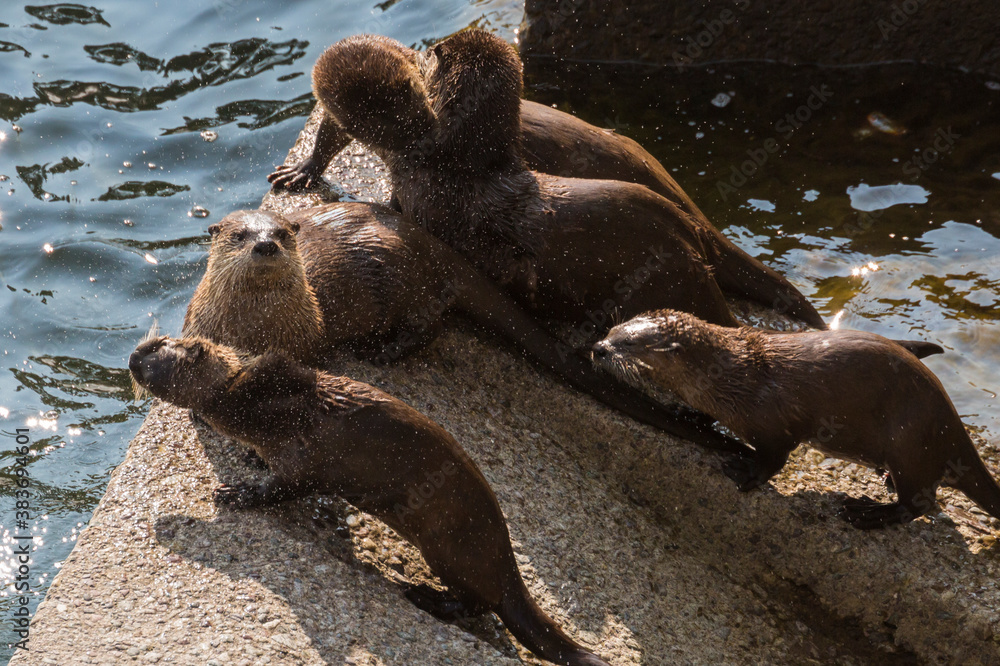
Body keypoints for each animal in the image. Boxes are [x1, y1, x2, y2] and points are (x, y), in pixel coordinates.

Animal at [128, 336, 611, 666]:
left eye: (156, 352)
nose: (132, 358)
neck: (252, 407)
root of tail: (509, 562)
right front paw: (249, 458)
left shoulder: (303, 455)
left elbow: (283, 487)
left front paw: (238, 492)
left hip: (451, 545)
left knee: (481, 601)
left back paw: (424, 596)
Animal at [183, 204, 749, 454]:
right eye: (238, 234)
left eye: (282, 232)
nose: (265, 244)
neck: (254, 331)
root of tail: (429, 243)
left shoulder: (306, 341)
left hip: (405, 282)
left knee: (432, 322)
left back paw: (384, 351)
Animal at [589, 309, 1000, 530]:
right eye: (612, 329)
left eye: (628, 344)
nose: (598, 348)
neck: (734, 377)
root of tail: (953, 427)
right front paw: (690, 413)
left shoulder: (774, 425)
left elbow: (775, 458)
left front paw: (744, 472)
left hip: (911, 440)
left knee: (921, 503)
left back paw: (868, 512)